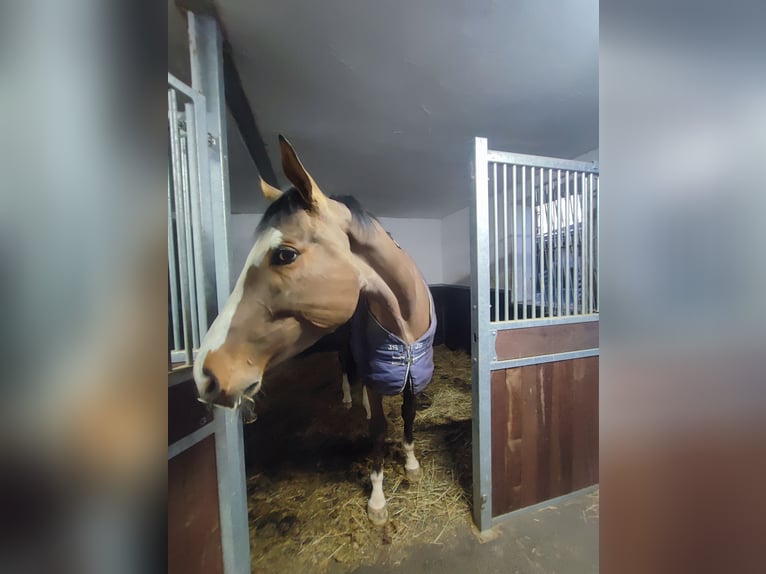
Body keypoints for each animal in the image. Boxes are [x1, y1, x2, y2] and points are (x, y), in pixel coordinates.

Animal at [193, 135, 436, 525]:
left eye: (284, 255)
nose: (205, 374)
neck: (405, 327)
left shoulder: (415, 373)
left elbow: (408, 416)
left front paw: (412, 464)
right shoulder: (377, 373)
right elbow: (379, 429)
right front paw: (377, 499)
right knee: (345, 367)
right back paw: (352, 399)